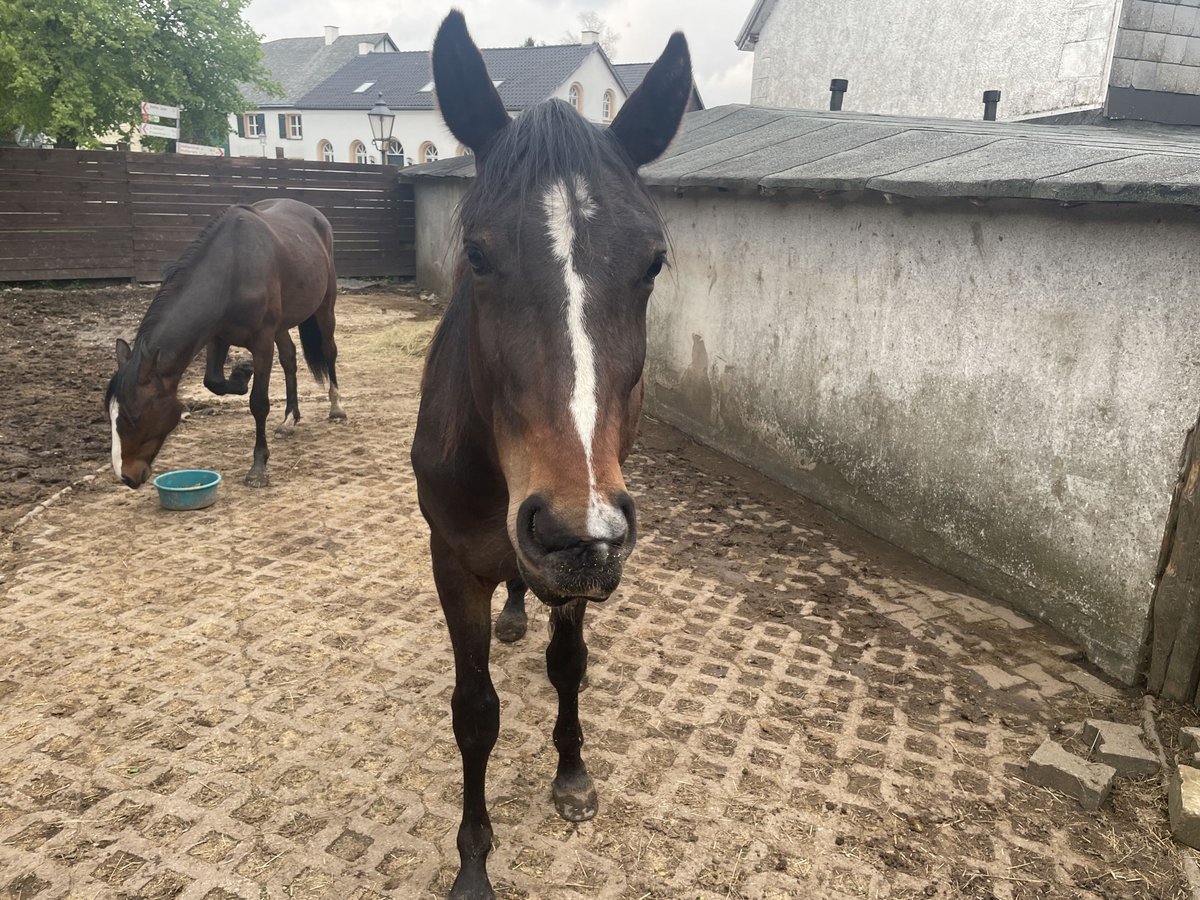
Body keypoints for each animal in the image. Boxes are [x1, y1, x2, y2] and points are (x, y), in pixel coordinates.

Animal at [105, 199, 345, 494]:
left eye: (134, 417)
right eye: (110, 415)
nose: (125, 476)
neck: (232, 269)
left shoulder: (262, 342)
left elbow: (258, 403)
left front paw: (258, 467)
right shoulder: (216, 337)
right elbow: (214, 382)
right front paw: (241, 375)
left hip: (325, 306)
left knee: (329, 351)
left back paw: (336, 408)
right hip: (282, 324)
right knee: (289, 359)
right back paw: (290, 418)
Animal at [412, 10, 696, 897]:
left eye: (652, 262)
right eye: (476, 254)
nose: (572, 529)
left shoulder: (585, 557)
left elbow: (568, 664)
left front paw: (571, 774)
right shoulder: (452, 563)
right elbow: (475, 714)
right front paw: (473, 861)